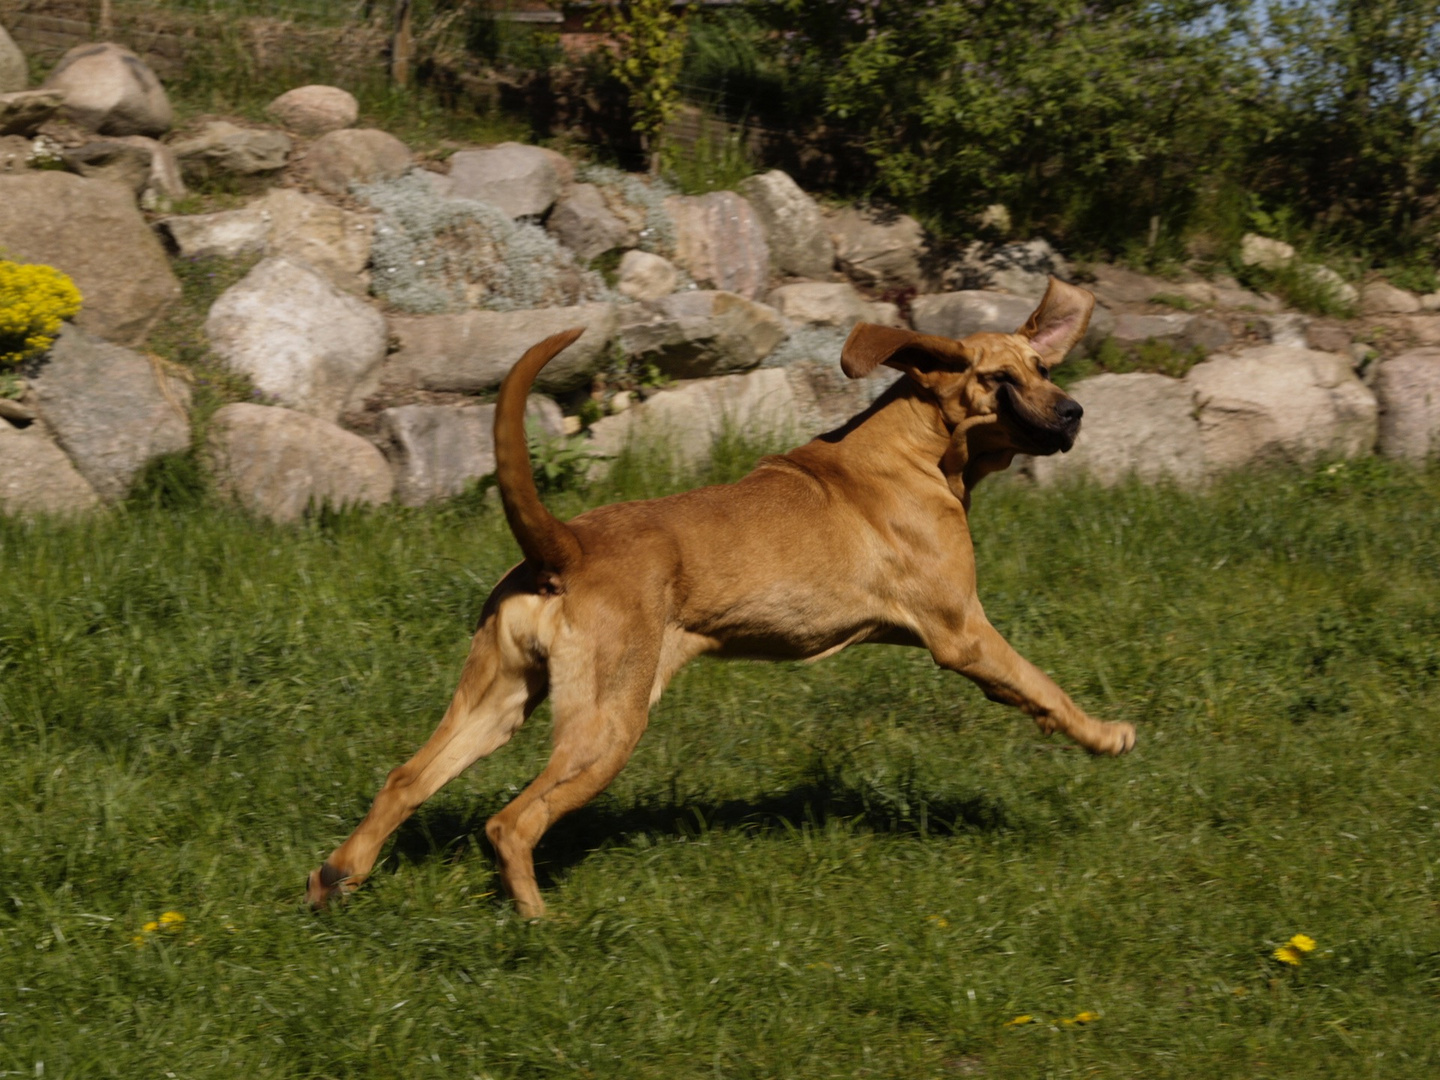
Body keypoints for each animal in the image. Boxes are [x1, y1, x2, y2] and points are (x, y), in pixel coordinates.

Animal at [306, 275, 1134, 915]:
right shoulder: (962, 631)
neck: (915, 449)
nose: (1074, 414)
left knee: (407, 779)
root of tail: (564, 544)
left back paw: (337, 877)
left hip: (498, 698)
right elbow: (1042, 686)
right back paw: (540, 922)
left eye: (1045, 367)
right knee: (513, 822)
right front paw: (1105, 735)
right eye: (999, 380)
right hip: (608, 721)